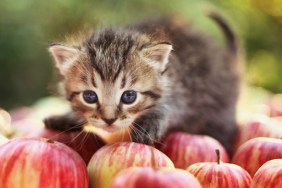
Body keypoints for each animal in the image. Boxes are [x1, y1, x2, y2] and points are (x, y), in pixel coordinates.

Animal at [46, 12, 242, 154]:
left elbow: (168, 108)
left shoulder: (181, 91)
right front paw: (67, 117)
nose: (109, 120)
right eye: (89, 96)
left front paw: (148, 125)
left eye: (129, 96)